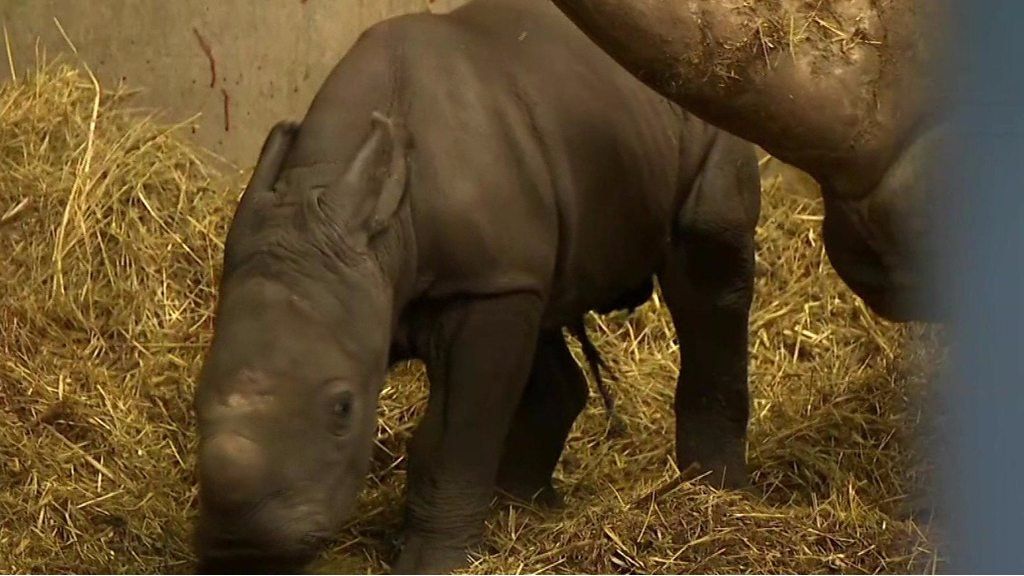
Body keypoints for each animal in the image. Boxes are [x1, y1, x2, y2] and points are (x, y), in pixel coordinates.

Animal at [195, 0, 765, 569]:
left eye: (343, 408)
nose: (244, 544)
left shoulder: (483, 286)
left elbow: (453, 440)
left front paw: (432, 564)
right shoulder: (482, 275)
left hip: (707, 102)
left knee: (709, 271)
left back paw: (715, 490)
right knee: (545, 319)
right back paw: (523, 508)